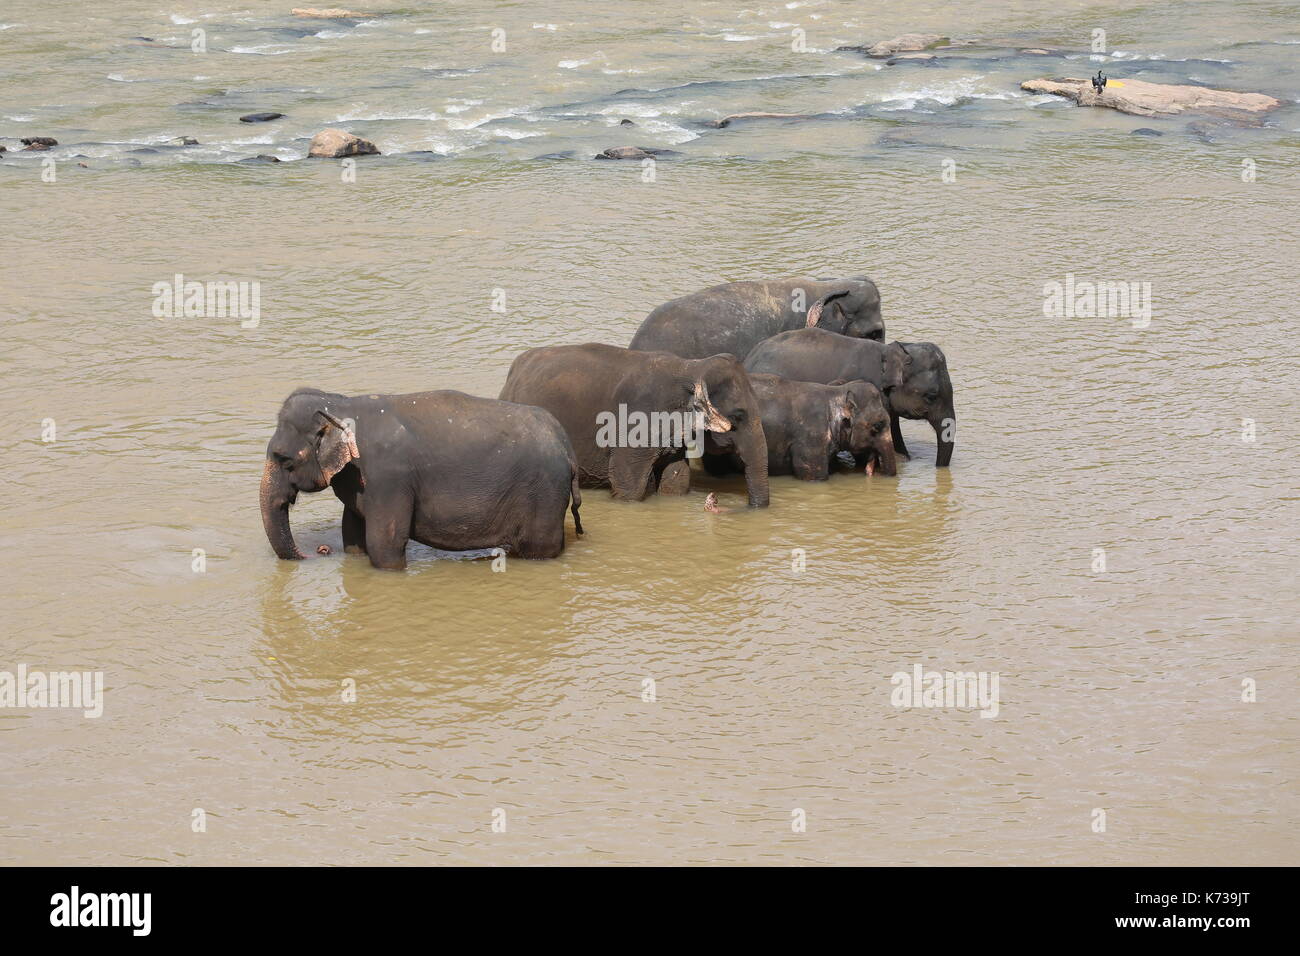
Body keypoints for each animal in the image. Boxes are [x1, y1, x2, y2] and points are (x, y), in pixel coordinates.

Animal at [258, 387, 585, 567]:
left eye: (283, 459)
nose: (319, 552)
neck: (341, 404)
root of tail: (567, 446)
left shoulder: (387, 479)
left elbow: (384, 544)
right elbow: (352, 536)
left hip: (543, 493)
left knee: (539, 549)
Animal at [491, 345, 764, 509]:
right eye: (738, 417)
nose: (718, 501)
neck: (691, 367)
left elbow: (676, 478)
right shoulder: (633, 424)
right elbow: (628, 483)